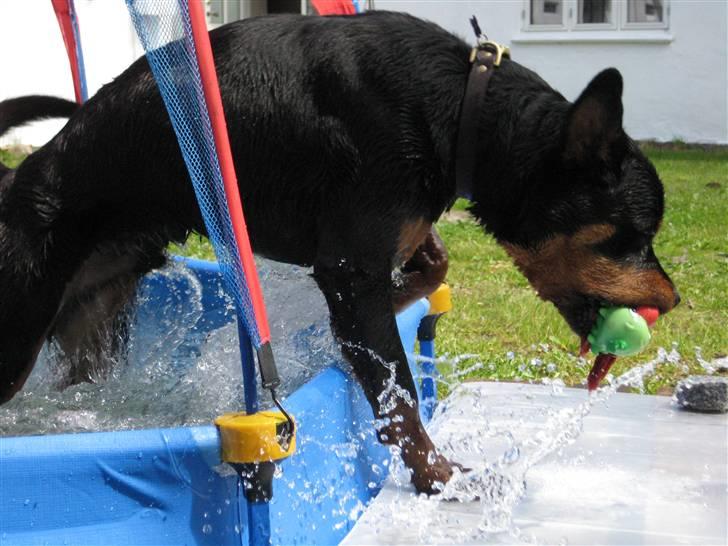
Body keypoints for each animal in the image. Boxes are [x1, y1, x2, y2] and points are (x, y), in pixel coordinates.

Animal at [2, 11, 680, 492]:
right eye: (634, 236)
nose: (672, 301)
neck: (465, 109)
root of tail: (17, 180)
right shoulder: (351, 265)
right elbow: (398, 396)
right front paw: (436, 477)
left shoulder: (374, 246)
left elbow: (427, 266)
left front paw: (378, 311)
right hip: (21, 320)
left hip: (97, 319)